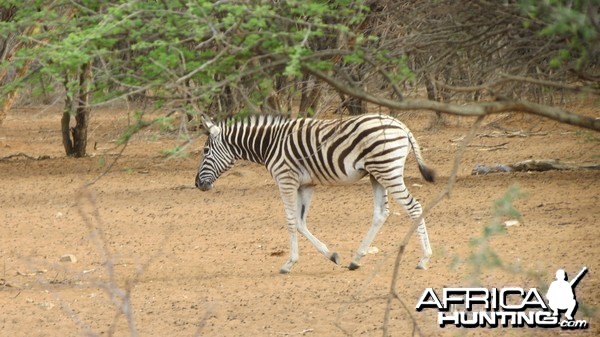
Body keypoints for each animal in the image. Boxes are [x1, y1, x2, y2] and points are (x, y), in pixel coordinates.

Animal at [197, 113, 436, 272]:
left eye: (205, 151)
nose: (197, 184)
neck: (269, 144)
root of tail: (400, 125)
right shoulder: (306, 185)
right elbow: (300, 222)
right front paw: (332, 255)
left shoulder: (286, 180)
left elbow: (291, 221)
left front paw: (289, 263)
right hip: (376, 174)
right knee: (381, 213)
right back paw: (356, 259)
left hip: (387, 171)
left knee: (414, 207)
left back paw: (424, 258)